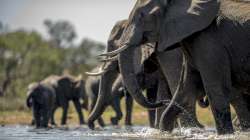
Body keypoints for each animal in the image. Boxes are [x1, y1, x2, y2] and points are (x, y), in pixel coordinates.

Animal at [101, 0, 250, 135]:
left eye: (142, 15)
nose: (161, 102)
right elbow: (184, 93)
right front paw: (165, 132)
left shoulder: (208, 41)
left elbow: (217, 89)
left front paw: (225, 134)